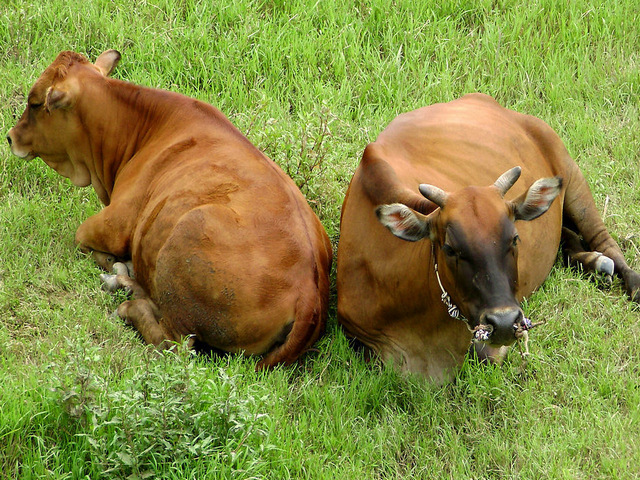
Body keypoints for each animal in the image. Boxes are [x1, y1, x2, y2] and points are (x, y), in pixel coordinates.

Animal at [7, 49, 332, 368]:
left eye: (34, 103)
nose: (11, 137)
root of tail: (309, 292)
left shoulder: (113, 224)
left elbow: (81, 239)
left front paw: (114, 264)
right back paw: (125, 282)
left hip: (188, 238)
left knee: (174, 344)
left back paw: (127, 302)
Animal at [338, 92, 636, 382]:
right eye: (450, 249)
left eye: (514, 239)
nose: (503, 322)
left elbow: (486, 355)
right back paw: (593, 261)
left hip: (571, 173)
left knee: (605, 240)